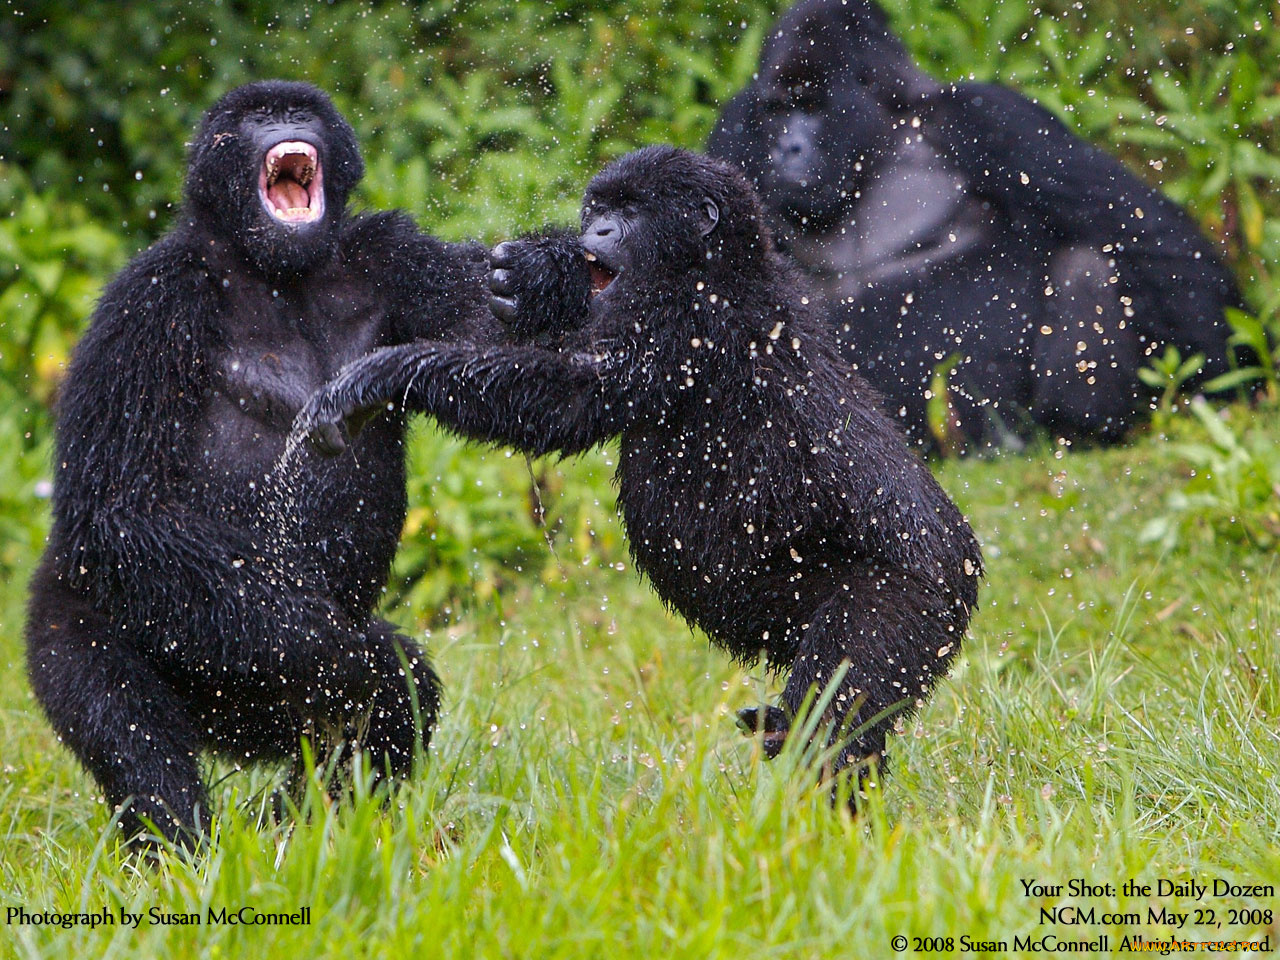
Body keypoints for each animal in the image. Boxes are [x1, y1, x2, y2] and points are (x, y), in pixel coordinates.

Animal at [26, 84, 499, 849]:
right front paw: (339, 648)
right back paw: (182, 851)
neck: (271, 269)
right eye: (254, 119)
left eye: (298, 111)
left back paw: (299, 834)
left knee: (386, 716)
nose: (285, 123)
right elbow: (123, 508)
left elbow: (506, 337)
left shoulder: (394, 254)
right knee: (130, 728)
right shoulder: (149, 300)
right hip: (69, 611)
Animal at [296, 146, 977, 798]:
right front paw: (543, 273)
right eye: (599, 207)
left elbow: (569, 399)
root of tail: (967, 568)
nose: (596, 230)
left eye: (628, 211)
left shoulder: (680, 319)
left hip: (913, 601)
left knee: (838, 706)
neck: (720, 263)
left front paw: (394, 370)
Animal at [706, 0, 1244, 450]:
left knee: (1085, 266)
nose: (786, 149)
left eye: (812, 107)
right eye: (778, 110)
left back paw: (1076, 432)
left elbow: (1152, 239)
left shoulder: (987, 117)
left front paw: (1230, 379)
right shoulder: (736, 128)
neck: (880, 134)